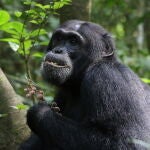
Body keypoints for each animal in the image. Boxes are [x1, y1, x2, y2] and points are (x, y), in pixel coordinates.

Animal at [19, 20, 150, 150]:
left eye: (73, 41)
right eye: (59, 38)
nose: (58, 50)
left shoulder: (109, 77)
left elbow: (128, 142)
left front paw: (40, 112)